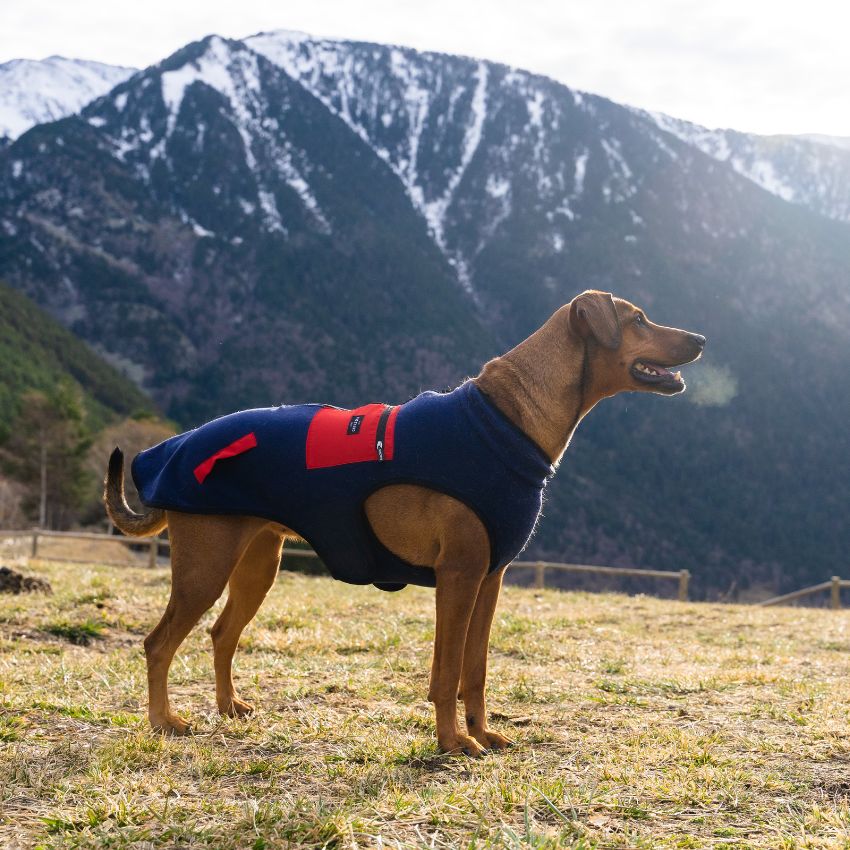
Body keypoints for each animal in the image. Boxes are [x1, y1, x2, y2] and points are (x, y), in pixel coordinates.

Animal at [104, 290, 704, 756]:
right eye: (638, 319)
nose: (700, 338)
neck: (506, 420)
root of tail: (174, 448)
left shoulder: (489, 580)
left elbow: (475, 670)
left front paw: (482, 733)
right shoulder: (458, 577)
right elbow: (446, 672)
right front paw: (453, 742)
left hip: (258, 564)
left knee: (222, 633)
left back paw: (229, 706)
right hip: (205, 567)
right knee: (158, 643)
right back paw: (164, 721)